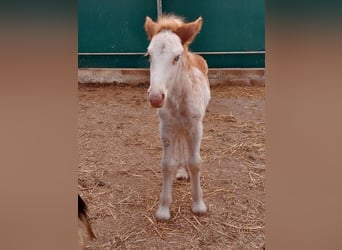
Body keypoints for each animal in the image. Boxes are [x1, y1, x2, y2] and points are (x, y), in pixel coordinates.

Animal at [144, 14, 211, 220]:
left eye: (176, 57)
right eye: (149, 56)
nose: (155, 97)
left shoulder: (196, 127)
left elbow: (195, 163)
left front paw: (199, 205)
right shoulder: (166, 127)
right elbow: (167, 165)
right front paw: (163, 209)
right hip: (177, 126)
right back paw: (181, 171)